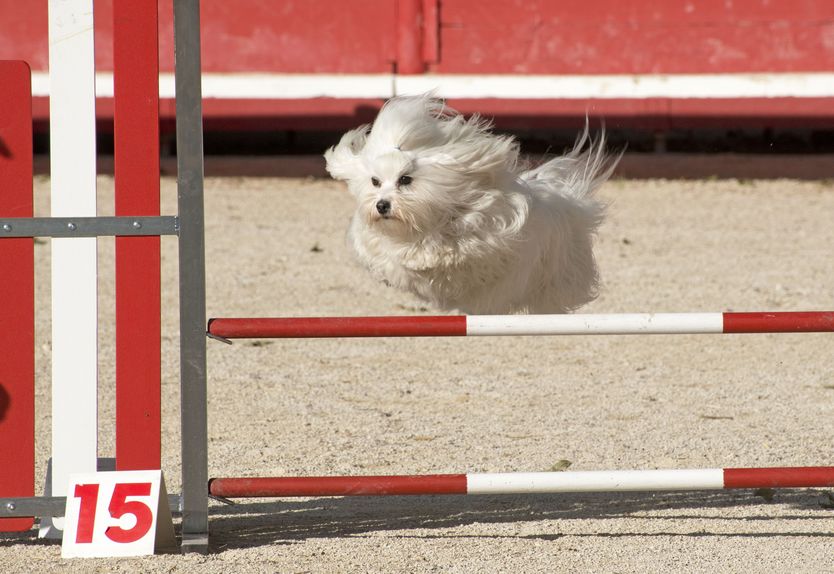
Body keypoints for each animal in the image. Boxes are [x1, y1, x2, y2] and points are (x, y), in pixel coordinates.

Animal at [324, 97, 616, 318]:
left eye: (405, 179)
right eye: (375, 181)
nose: (382, 205)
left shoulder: (487, 231)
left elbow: (458, 248)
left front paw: (433, 255)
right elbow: (387, 257)